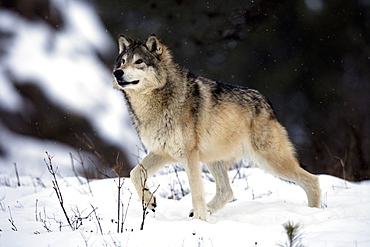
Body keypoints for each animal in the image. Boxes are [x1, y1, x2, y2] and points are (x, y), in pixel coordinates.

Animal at [112, 33, 320, 221]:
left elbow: (196, 191)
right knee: (227, 191)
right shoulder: (162, 152)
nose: (117, 72)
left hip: (269, 161)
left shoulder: (188, 155)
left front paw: (200, 223)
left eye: (139, 61)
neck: (154, 103)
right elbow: (134, 173)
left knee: (313, 180)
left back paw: (314, 213)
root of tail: (268, 103)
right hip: (215, 159)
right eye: (122, 61)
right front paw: (149, 201)